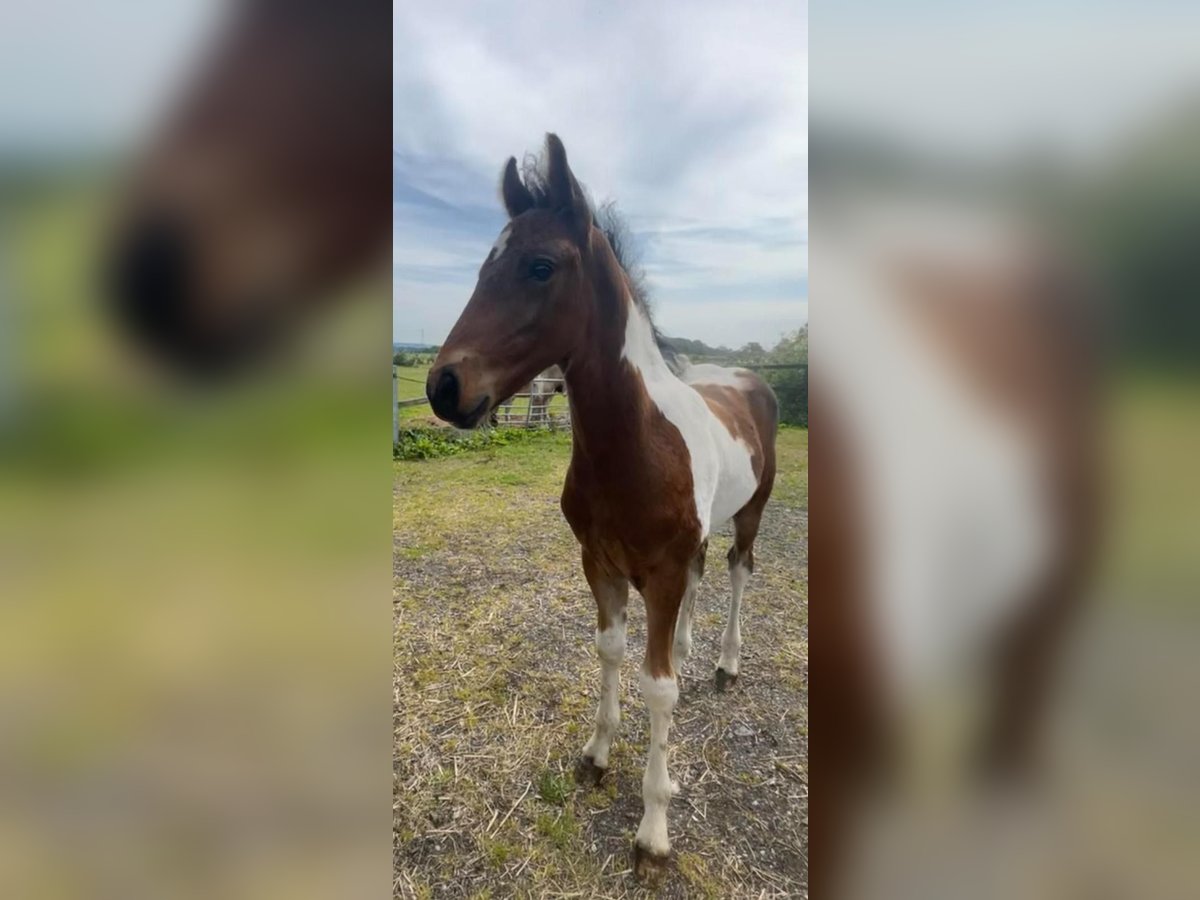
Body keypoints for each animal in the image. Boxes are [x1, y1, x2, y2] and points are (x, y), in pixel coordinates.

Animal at [427, 133, 782, 883]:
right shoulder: (601, 564)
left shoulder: (661, 570)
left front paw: (653, 832)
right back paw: (688, 646)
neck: (636, 445)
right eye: (483, 266)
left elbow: (659, 689)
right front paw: (595, 756)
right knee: (702, 582)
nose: (444, 387)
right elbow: (612, 651)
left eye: (540, 266)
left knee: (738, 571)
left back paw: (725, 664)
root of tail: (746, 378)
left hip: (752, 511)